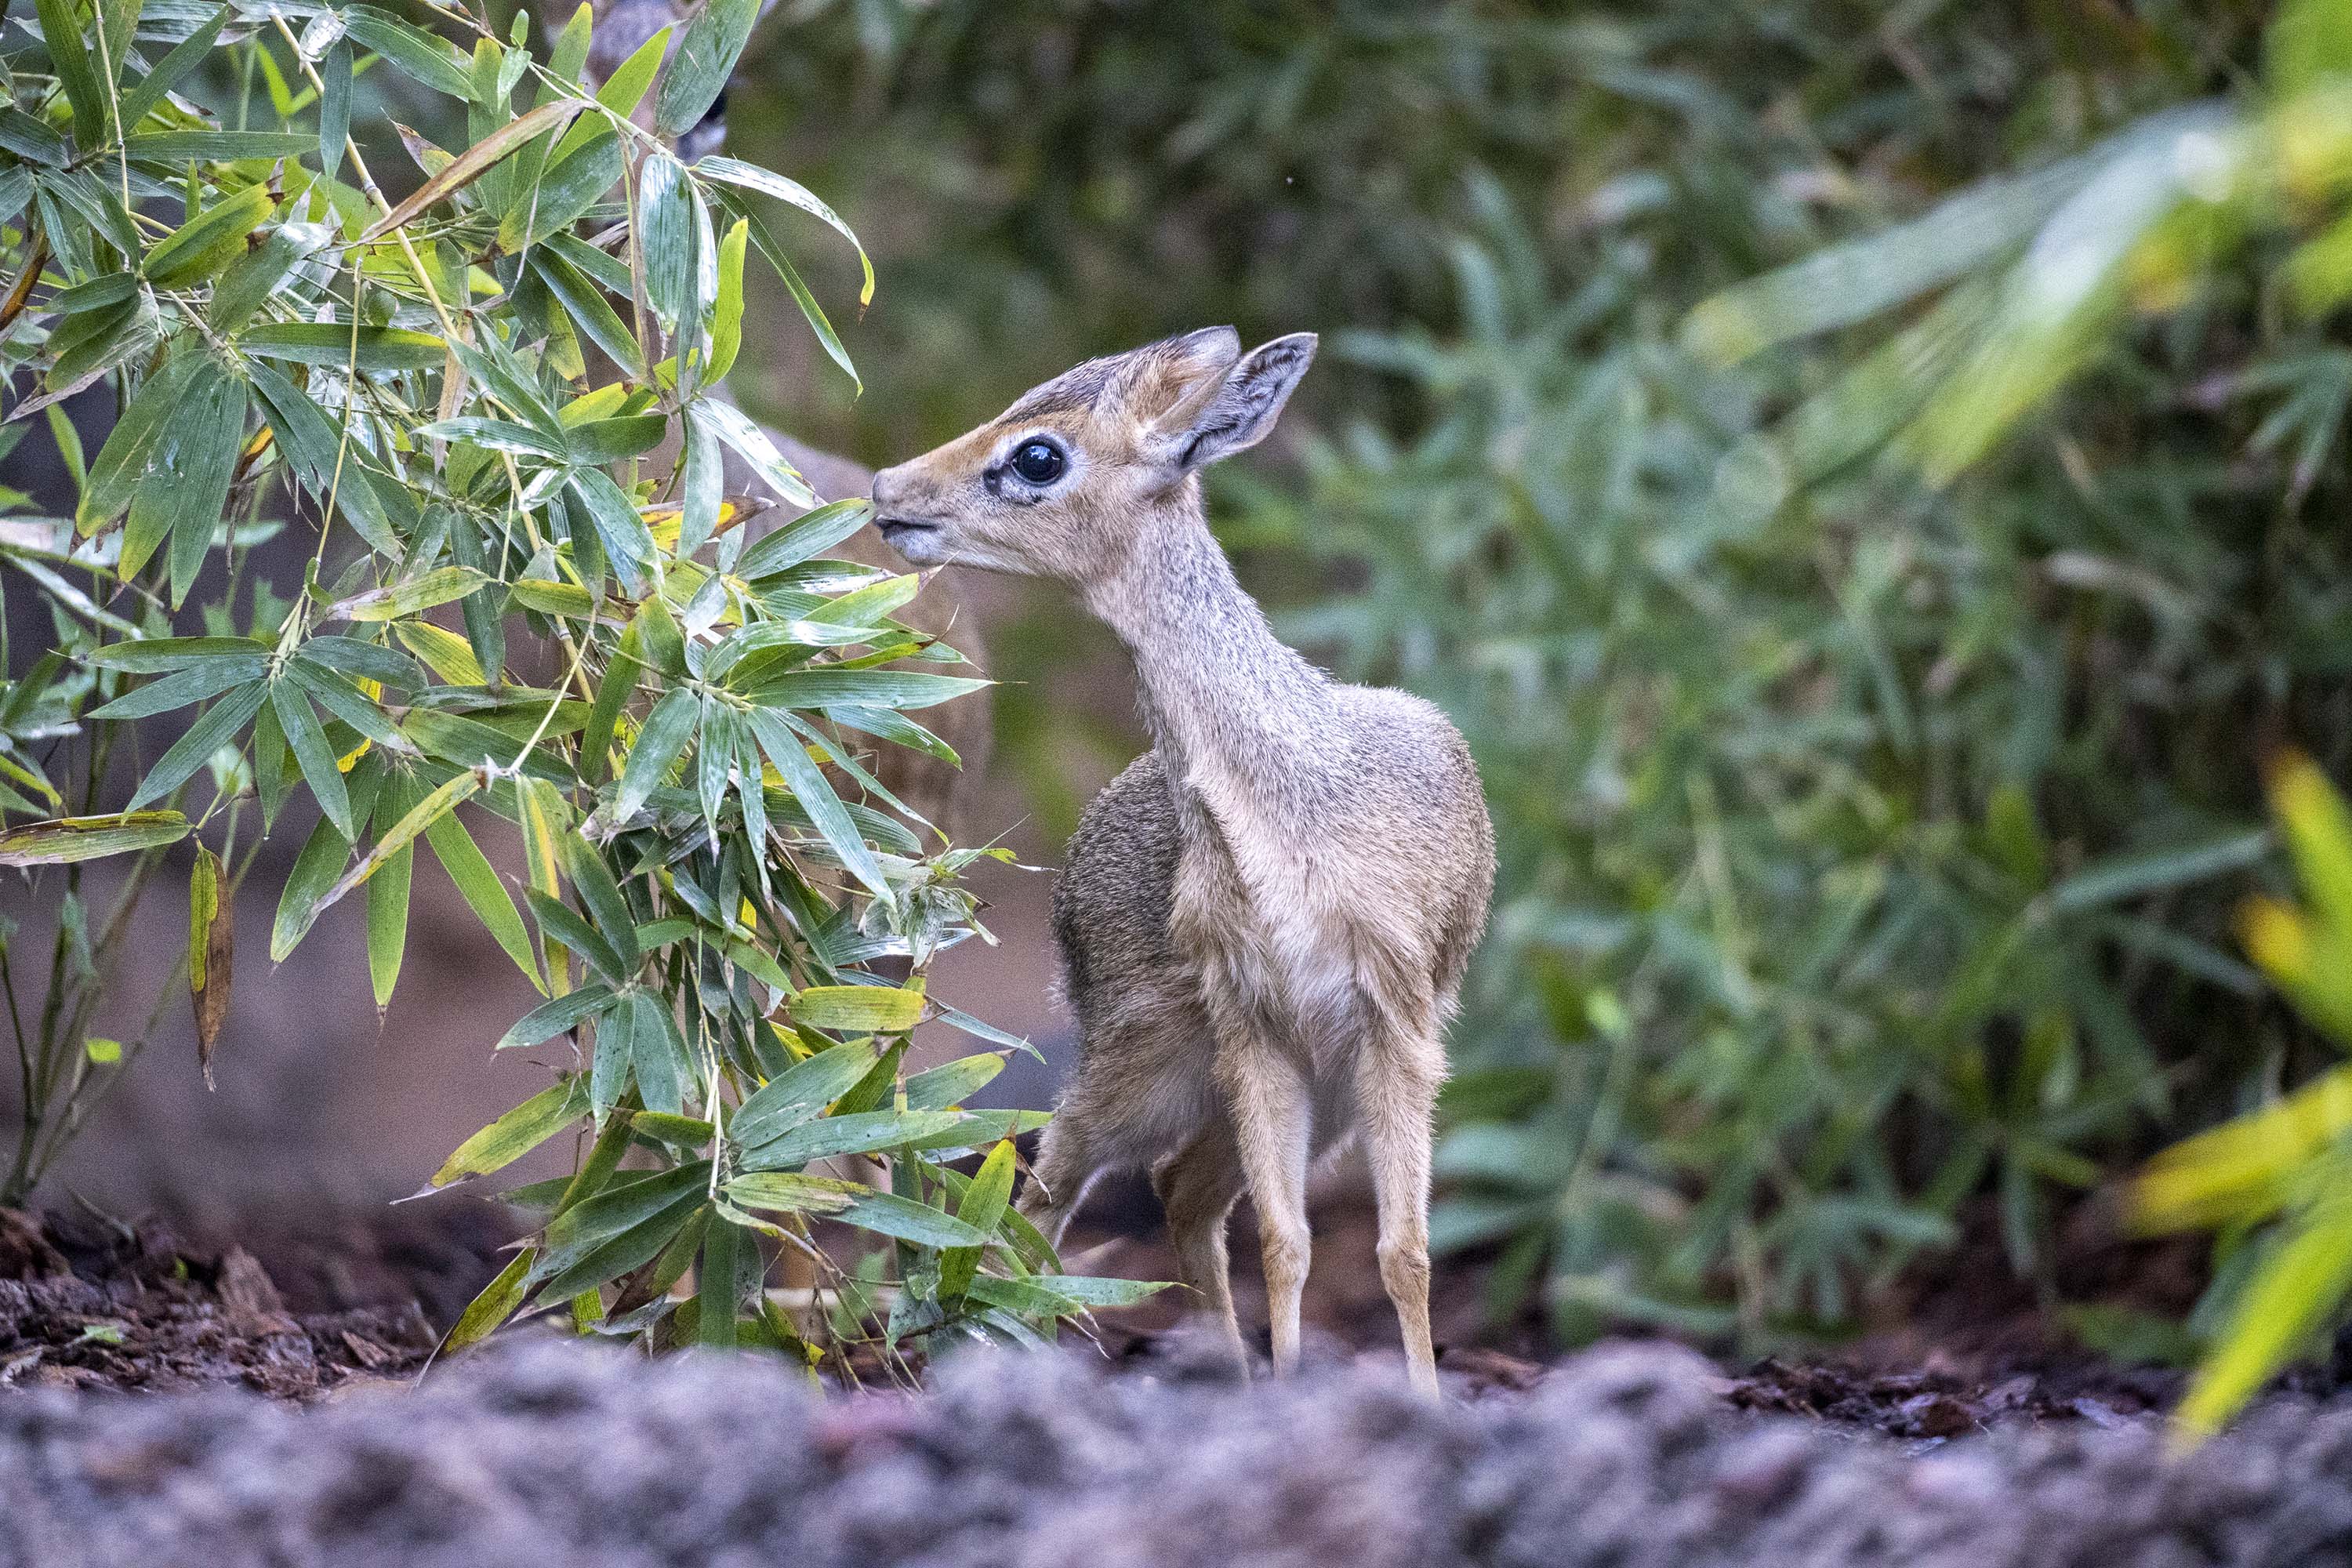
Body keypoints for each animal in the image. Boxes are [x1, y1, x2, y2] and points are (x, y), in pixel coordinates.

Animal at [875, 324, 1496, 1392]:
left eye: (1037, 455)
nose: (885, 487)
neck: (1293, 809)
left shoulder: (1394, 1026)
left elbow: (1401, 1249)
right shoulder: (1255, 1023)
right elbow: (1290, 1240)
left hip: (1294, 1087)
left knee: (1174, 1187)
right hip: (1150, 1056)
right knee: (1058, 1174)